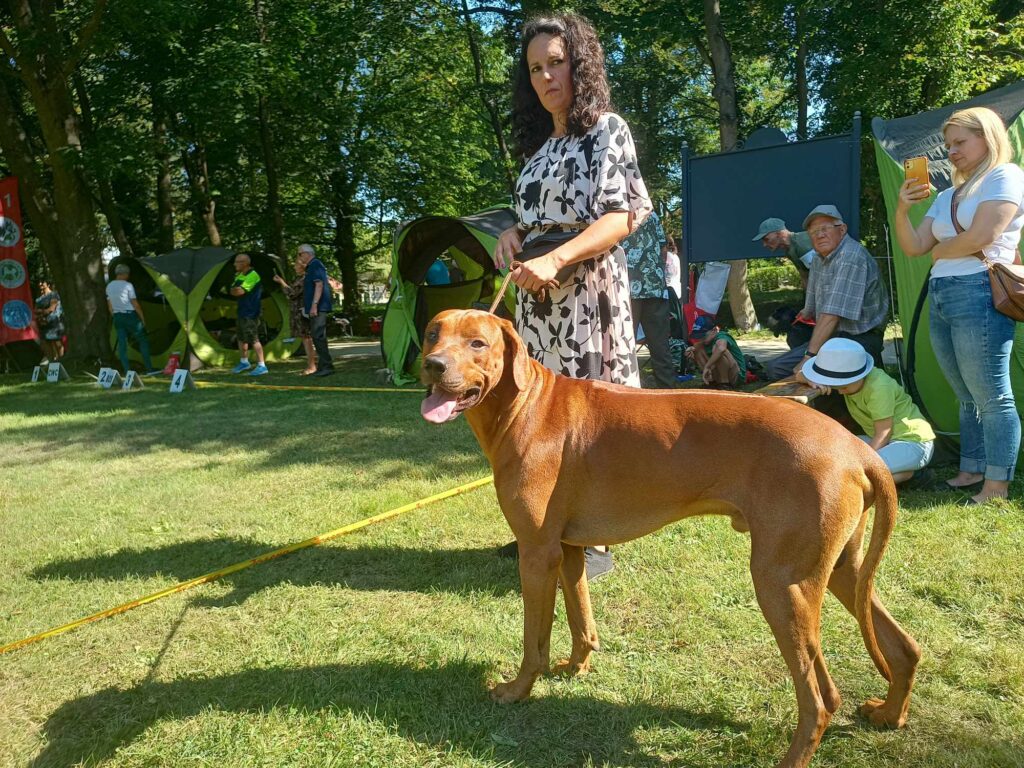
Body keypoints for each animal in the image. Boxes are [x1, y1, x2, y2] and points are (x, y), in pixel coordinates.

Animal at [415, 309, 921, 768]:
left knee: (820, 700)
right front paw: (577, 668)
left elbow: (532, 642)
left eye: (477, 343)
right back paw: (889, 713)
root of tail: (856, 448)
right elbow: (582, 620)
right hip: (839, 571)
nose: (433, 365)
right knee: (903, 647)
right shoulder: (569, 550)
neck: (527, 405)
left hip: (781, 584)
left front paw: (518, 690)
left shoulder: (537, 555)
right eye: (433, 333)